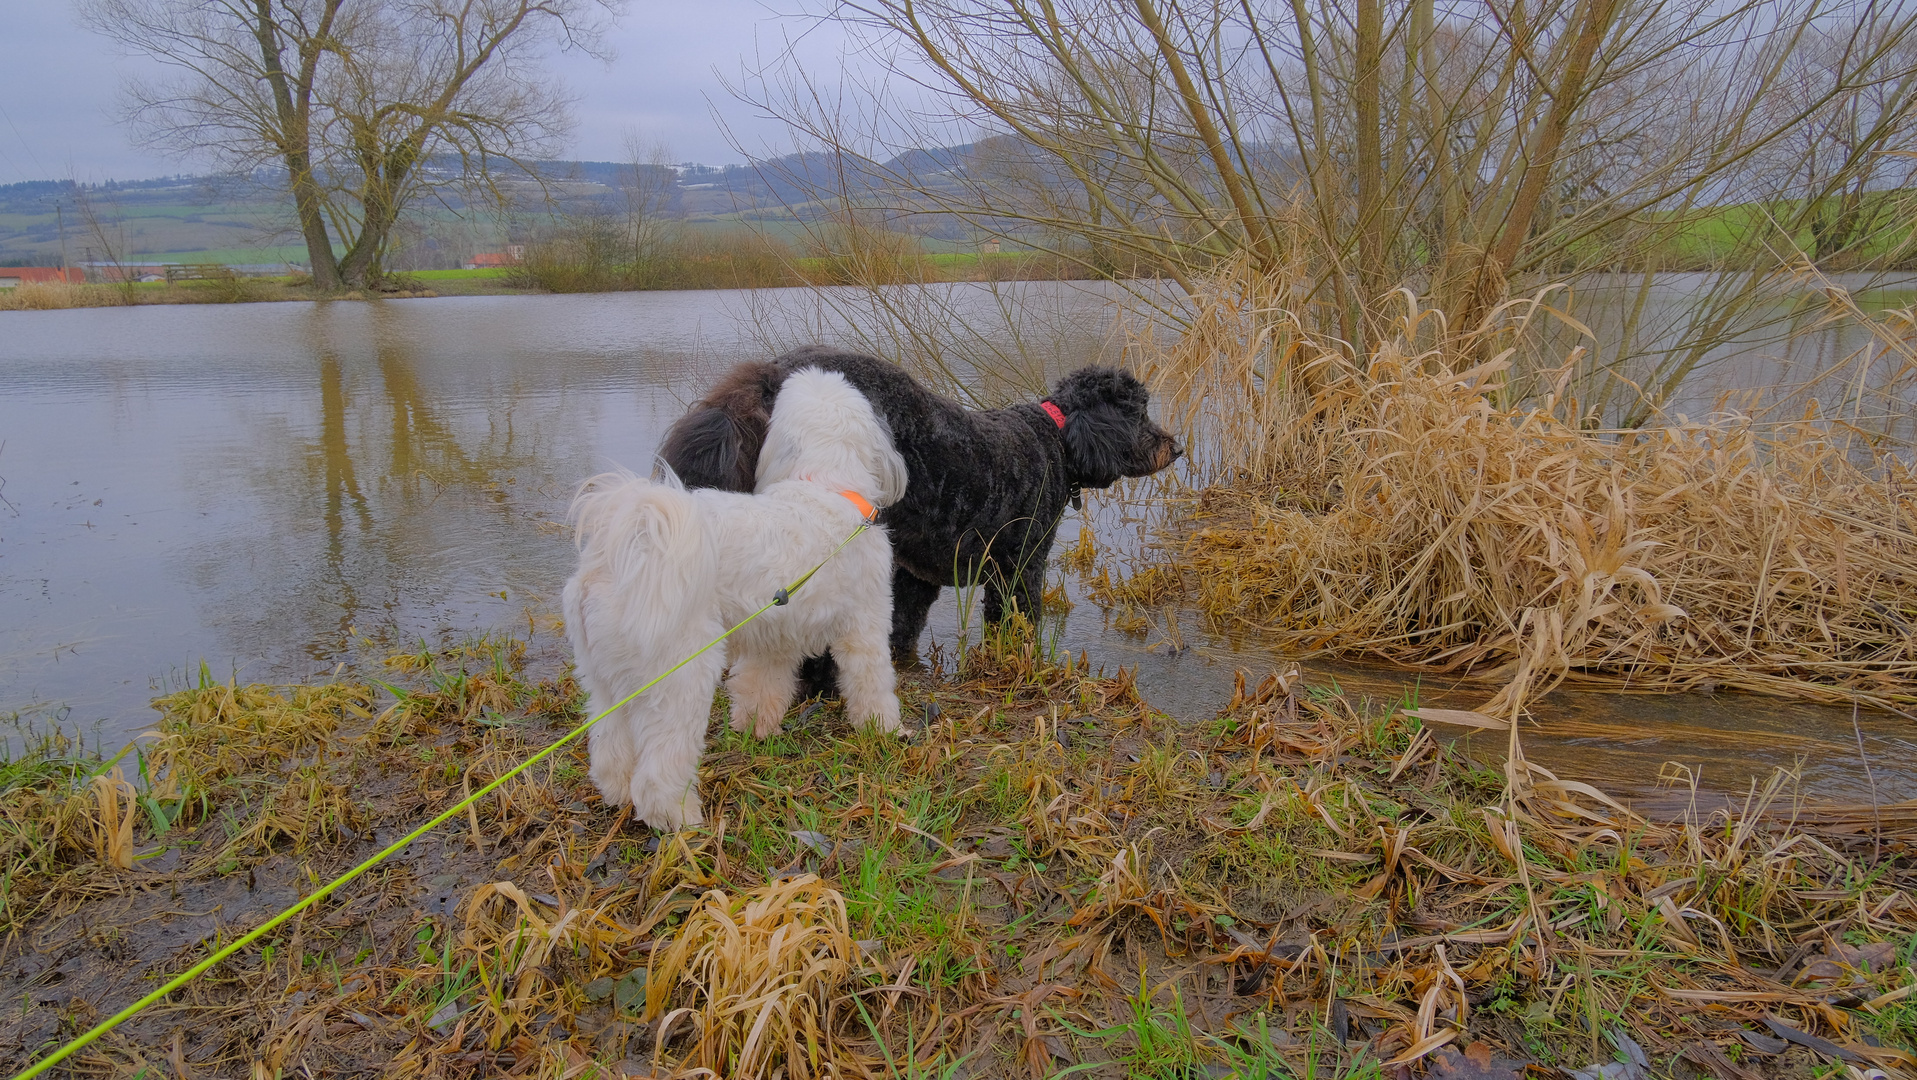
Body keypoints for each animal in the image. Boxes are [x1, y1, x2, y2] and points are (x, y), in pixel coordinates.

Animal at [559, 368, 904, 832]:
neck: (823, 486)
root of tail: (627, 547)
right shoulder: (865, 624)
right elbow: (872, 683)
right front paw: (885, 729)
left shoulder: (773, 640)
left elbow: (762, 688)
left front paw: (756, 729)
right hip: (680, 675)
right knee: (660, 770)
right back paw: (679, 819)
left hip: (606, 679)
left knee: (610, 748)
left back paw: (617, 794)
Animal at [655, 347, 1180, 679]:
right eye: (1137, 413)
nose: (1174, 448)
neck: (1055, 436)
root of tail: (769, 374)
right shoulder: (1020, 565)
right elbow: (1018, 619)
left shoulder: (916, 572)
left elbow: (904, 624)